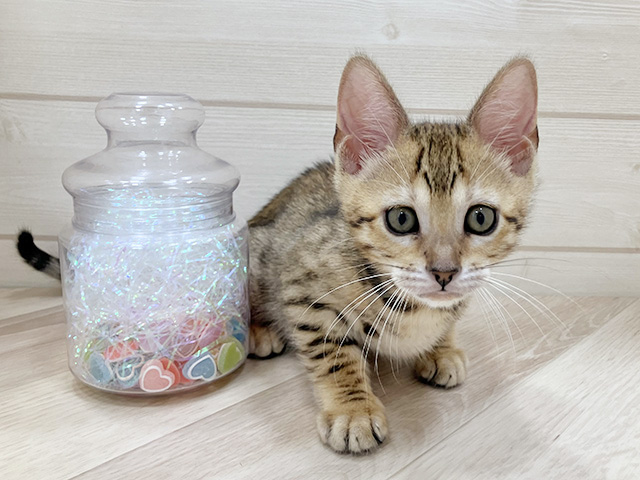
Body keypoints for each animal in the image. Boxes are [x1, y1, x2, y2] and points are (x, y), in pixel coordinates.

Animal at [18, 55, 539, 454]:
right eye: (401, 220)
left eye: (481, 219)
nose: (445, 272)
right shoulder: (303, 289)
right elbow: (335, 354)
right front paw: (352, 409)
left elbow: (447, 322)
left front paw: (442, 347)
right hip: (255, 255)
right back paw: (258, 331)